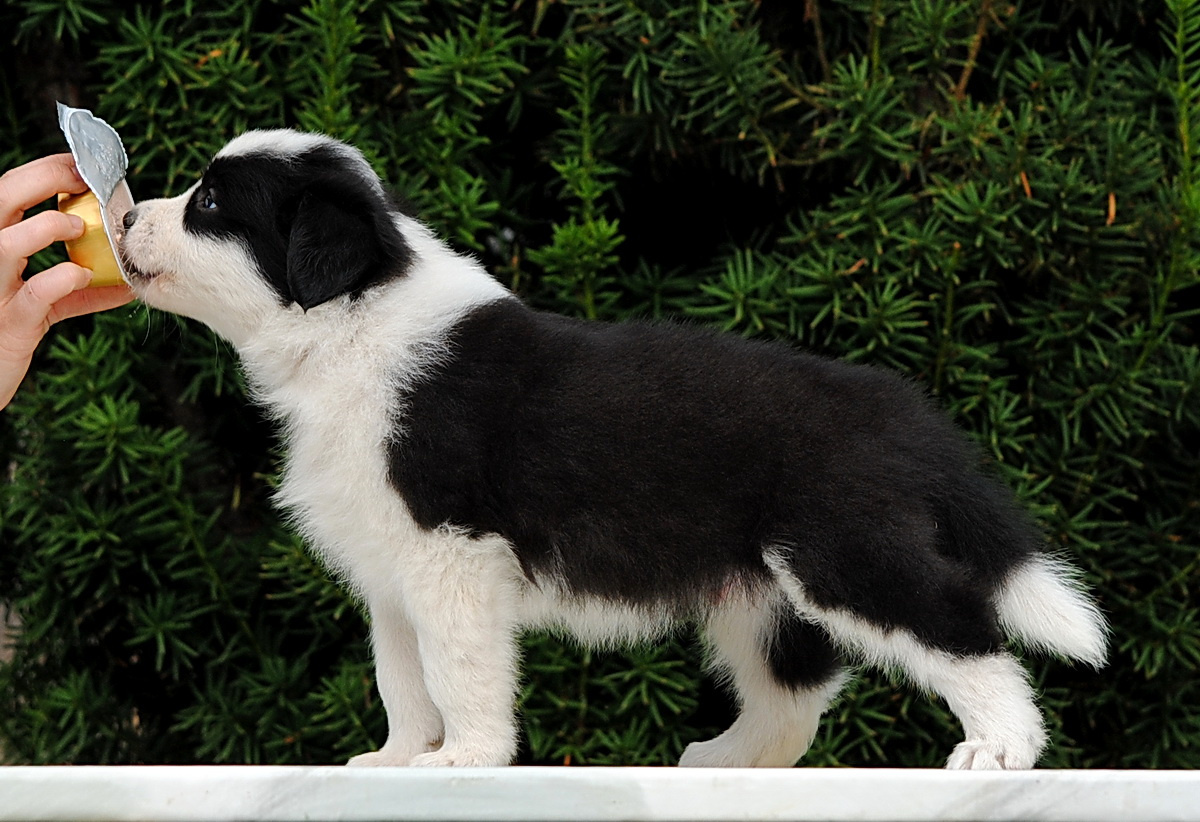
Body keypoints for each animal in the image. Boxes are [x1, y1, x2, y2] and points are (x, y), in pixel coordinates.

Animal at [119, 129, 1104, 768]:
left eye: (210, 202)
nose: (124, 220)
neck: (348, 324)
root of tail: (904, 412)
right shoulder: (390, 569)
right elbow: (403, 676)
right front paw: (397, 761)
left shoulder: (451, 556)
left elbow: (458, 670)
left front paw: (463, 760)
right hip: (757, 593)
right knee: (792, 698)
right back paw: (721, 767)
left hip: (843, 549)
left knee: (961, 632)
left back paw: (1000, 750)